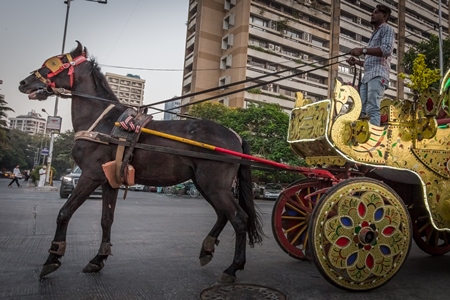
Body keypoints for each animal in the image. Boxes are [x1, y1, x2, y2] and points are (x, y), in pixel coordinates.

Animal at [18, 41, 264, 282]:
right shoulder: (109, 180)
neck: (102, 121)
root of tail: (235, 135)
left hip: (214, 185)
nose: (24, 83)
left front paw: (53, 258)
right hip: (204, 184)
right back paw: (207, 249)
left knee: (239, 219)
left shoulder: (90, 175)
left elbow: (64, 213)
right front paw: (99, 258)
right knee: (223, 214)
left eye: (54, 62)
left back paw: (233, 268)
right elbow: (106, 218)